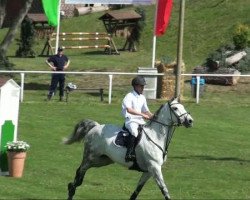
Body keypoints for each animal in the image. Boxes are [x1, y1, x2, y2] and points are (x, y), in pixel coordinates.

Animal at [64, 97, 193, 199]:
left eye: (183, 106)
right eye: (175, 108)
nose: (190, 121)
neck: (155, 136)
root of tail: (95, 126)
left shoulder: (149, 171)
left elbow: (136, 191)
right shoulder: (155, 167)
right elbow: (164, 190)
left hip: (103, 160)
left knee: (81, 171)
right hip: (90, 157)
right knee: (80, 171)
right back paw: (71, 189)